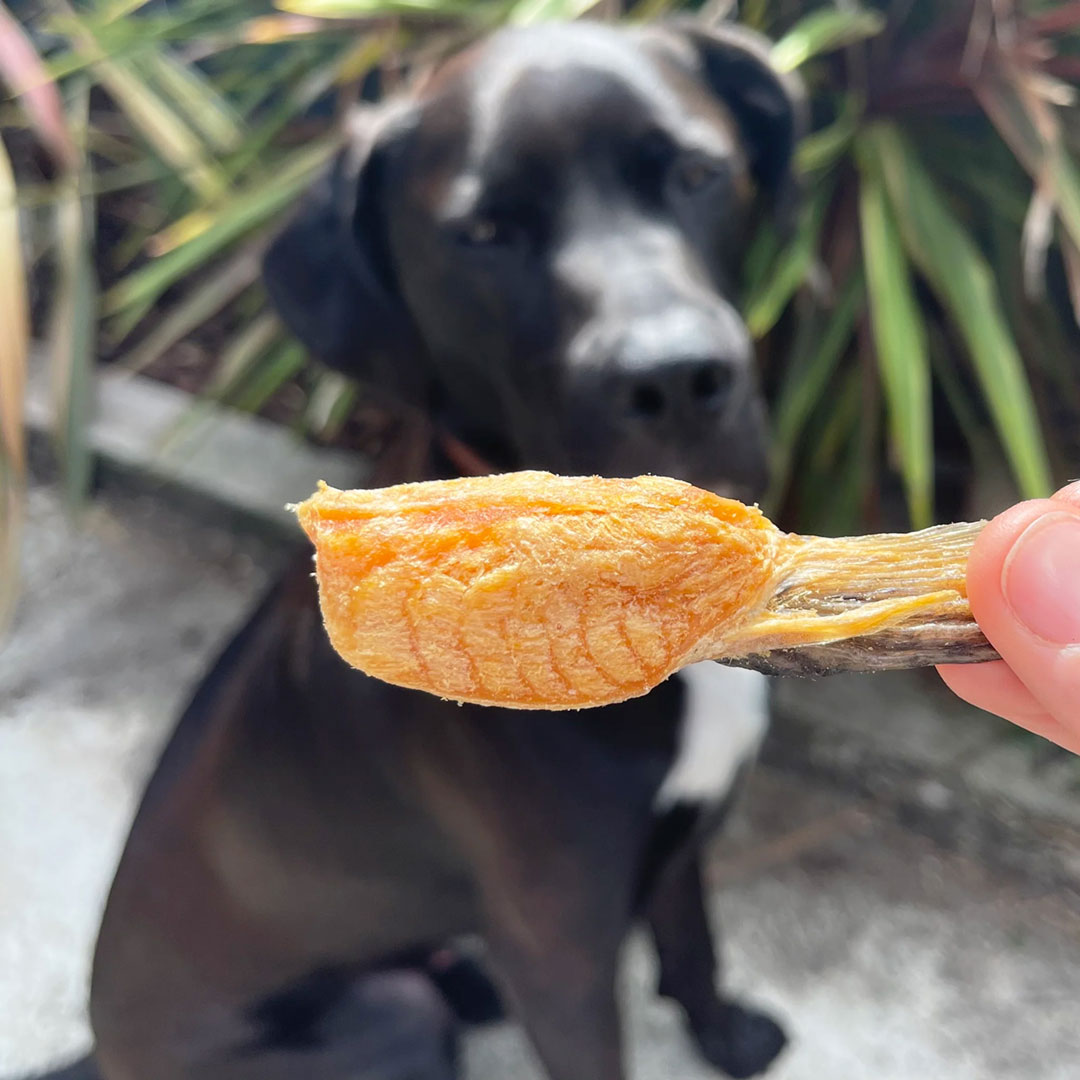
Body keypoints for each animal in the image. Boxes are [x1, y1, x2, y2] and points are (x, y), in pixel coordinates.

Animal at [86, 16, 803, 1080]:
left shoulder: (682, 838)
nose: (675, 380)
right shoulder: (558, 944)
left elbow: (695, 943)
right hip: (388, 1014)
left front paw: (726, 1037)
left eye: (696, 172)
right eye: (485, 234)